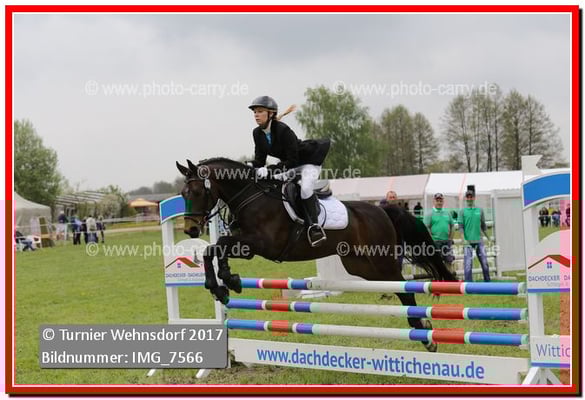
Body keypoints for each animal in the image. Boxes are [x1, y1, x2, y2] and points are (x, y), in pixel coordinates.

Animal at [176, 157, 457, 352]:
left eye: (198, 192)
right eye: (182, 194)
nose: (191, 229)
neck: (250, 197)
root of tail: (382, 209)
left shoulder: (260, 244)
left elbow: (217, 245)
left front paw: (224, 283)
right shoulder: (245, 247)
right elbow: (213, 249)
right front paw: (225, 284)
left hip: (381, 261)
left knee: (403, 287)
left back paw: (424, 332)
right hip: (362, 267)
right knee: (395, 286)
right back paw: (422, 329)